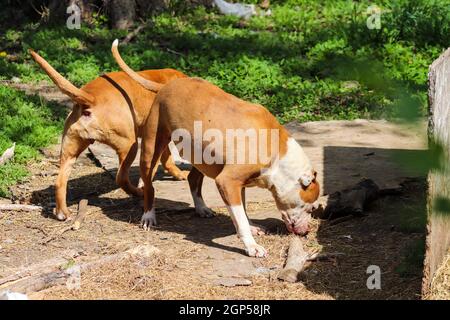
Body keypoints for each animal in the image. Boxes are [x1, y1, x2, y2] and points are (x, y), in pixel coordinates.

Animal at [29, 50, 188, 221]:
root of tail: (89, 97)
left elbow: (167, 159)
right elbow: (165, 159)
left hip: (69, 151)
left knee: (60, 181)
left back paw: (62, 213)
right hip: (129, 145)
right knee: (121, 177)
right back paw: (138, 192)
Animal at [111, 40, 320, 258]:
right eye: (311, 208)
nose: (307, 231)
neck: (279, 154)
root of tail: (167, 85)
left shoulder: (238, 184)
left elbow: (242, 211)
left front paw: (252, 227)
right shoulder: (227, 181)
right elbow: (240, 218)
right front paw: (251, 245)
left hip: (201, 156)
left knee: (193, 179)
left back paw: (202, 208)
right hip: (152, 148)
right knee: (149, 186)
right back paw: (148, 216)